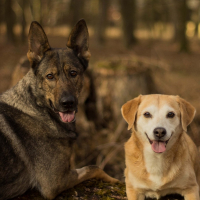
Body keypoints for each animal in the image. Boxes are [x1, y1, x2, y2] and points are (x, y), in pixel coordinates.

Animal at [0, 20, 117, 200]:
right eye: (50, 76)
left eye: (73, 73)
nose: (68, 103)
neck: (39, 109)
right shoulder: (53, 183)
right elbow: (94, 167)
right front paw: (114, 179)